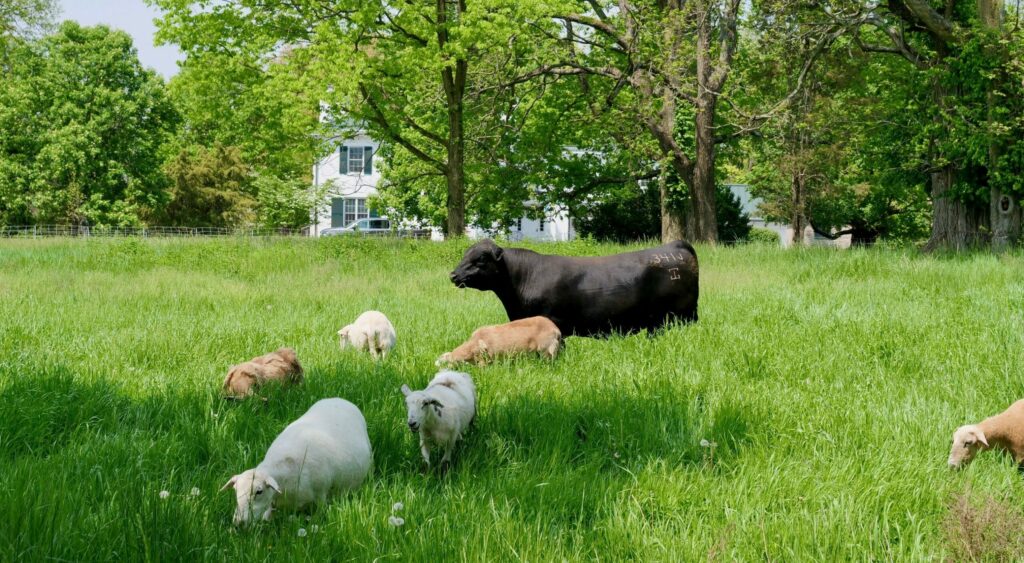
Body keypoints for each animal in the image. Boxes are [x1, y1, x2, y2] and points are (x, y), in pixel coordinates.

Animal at [220, 399, 372, 528]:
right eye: (236, 491)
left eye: (259, 491)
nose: (238, 523)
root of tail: (342, 400)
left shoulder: (321, 493)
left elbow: (318, 515)